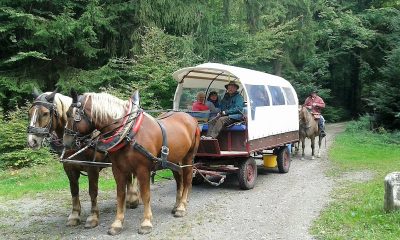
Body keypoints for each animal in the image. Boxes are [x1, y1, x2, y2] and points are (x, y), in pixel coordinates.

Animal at [26, 90, 139, 229]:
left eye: (45, 113)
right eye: (29, 113)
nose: (32, 141)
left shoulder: (92, 168)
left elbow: (93, 191)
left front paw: (93, 217)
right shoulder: (69, 168)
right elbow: (74, 191)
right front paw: (74, 215)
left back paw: (133, 199)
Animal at [63, 91, 200, 235]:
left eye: (70, 114)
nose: (66, 142)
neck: (128, 131)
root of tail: (191, 118)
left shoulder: (143, 170)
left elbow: (145, 195)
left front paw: (146, 222)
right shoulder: (118, 170)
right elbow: (120, 195)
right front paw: (117, 223)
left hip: (188, 158)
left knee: (187, 180)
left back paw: (181, 207)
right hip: (174, 160)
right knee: (179, 180)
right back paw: (176, 205)